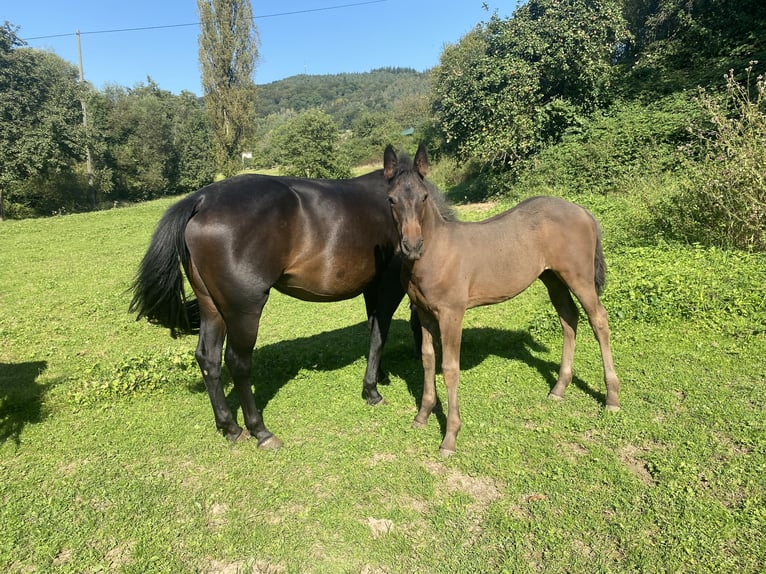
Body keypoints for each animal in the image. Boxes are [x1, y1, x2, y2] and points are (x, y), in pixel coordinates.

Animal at [130, 169, 416, 449]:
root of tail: (202, 199)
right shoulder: (389, 284)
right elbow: (379, 334)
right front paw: (372, 390)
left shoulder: (372, 286)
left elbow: (372, 329)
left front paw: (377, 375)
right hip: (244, 311)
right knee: (237, 362)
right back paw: (260, 431)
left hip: (210, 305)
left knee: (208, 358)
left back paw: (230, 427)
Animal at [383, 143, 620, 456]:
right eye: (391, 199)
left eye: (423, 197)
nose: (412, 246)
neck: (435, 253)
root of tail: (583, 211)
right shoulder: (423, 313)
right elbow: (427, 359)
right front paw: (422, 415)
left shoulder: (451, 314)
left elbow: (449, 368)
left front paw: (450, 436)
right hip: (553, 278)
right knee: (569, 318)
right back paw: (559, 388)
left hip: (579, 278)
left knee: (599, 320)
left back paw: (612, 398)